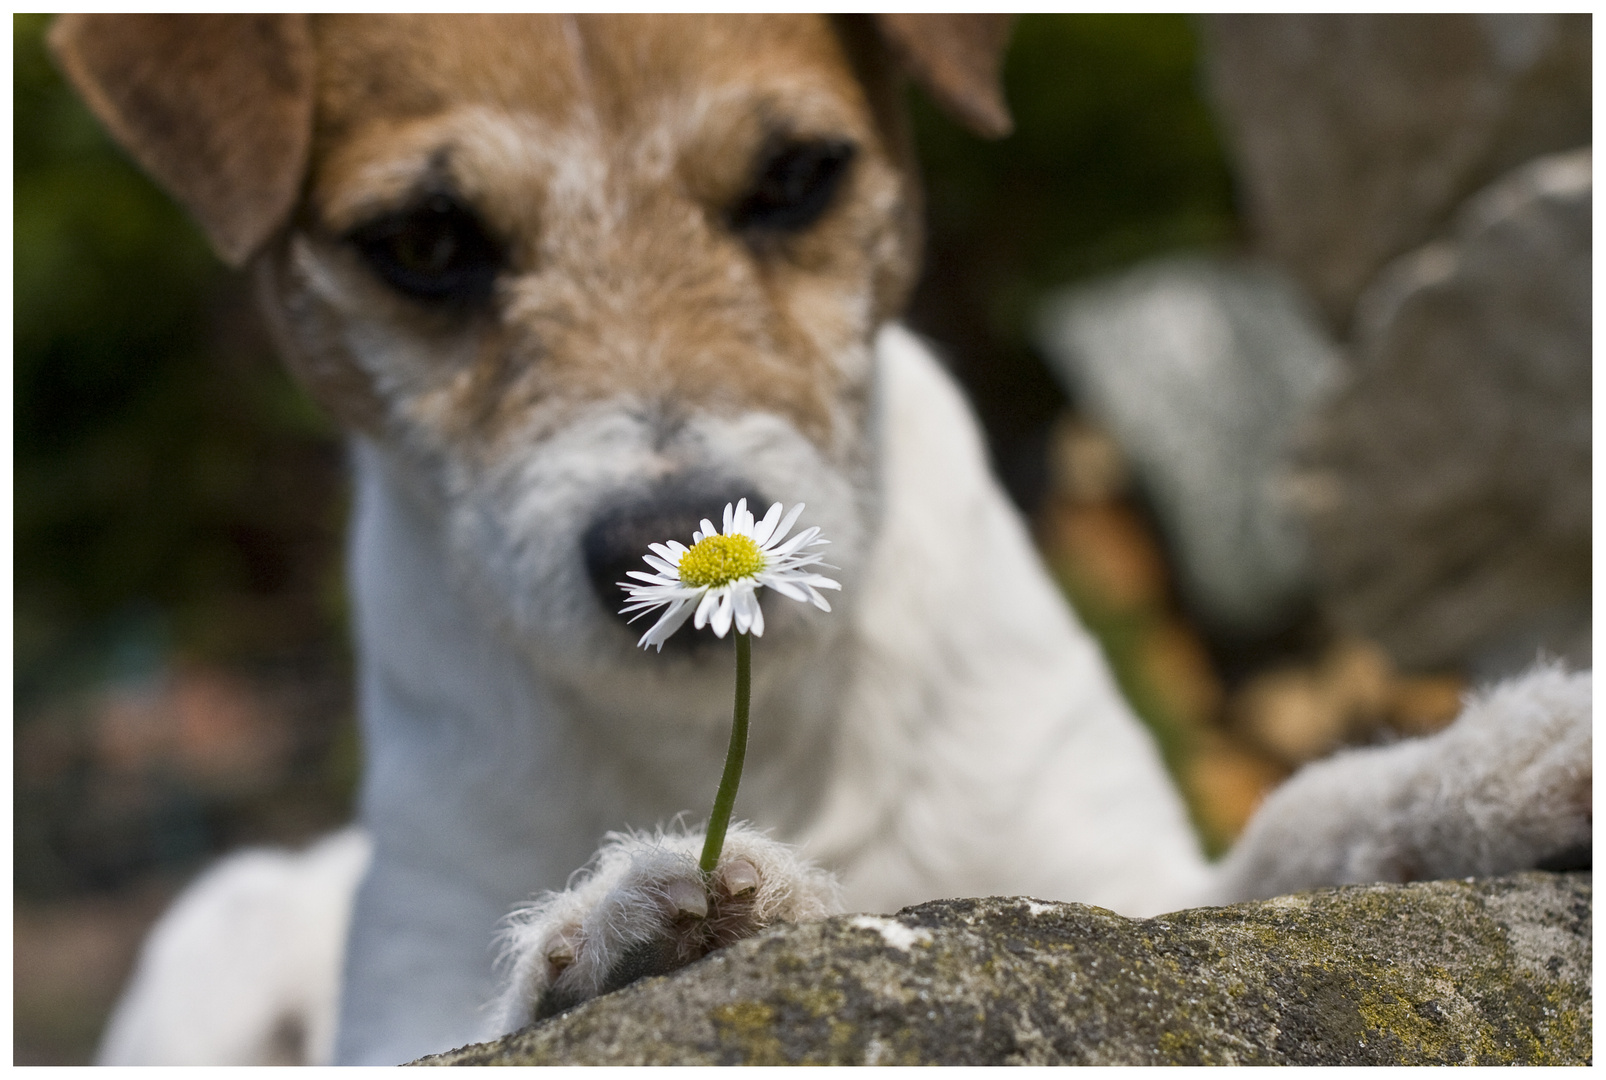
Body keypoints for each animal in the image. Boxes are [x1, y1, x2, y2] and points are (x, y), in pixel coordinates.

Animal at [53, 12, 1593, 1067]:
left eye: (797, 174)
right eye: (426, 244)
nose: (669, 534)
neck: (767, 723)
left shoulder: (1126, 891)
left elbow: (1288, 825)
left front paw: (1487, 769)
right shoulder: (396, 999)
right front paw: (620, 933)